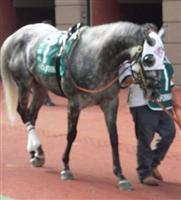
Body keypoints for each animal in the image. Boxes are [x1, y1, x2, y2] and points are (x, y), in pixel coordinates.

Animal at [0, 21, 164, 191]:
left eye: (163, 56)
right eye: (149, 59)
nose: (155, 92)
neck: (98, 56)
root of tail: (13, 36)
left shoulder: (110, 102)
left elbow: (114, 137)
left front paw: (120, 175)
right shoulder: (74, 102)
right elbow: (71, 134)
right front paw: (66, 168)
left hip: (39, 86)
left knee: (32, 115)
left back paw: (36, 153)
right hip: (24, 83)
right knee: (23, 111)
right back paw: (35, 147)